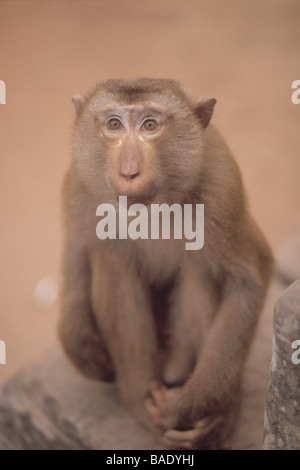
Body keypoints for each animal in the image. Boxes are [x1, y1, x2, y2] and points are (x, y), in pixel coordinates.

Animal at [58, 79, 274, 450]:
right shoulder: (79, 185)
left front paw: (192, 408)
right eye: (113, 124)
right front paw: (79, 343)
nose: (129, 171)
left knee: (198, 270)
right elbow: (78, 250)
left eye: (150, 125)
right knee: (113, 259)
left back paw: (215, 416)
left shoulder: (222, 189)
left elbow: (250, 279)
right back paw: (137, 399)